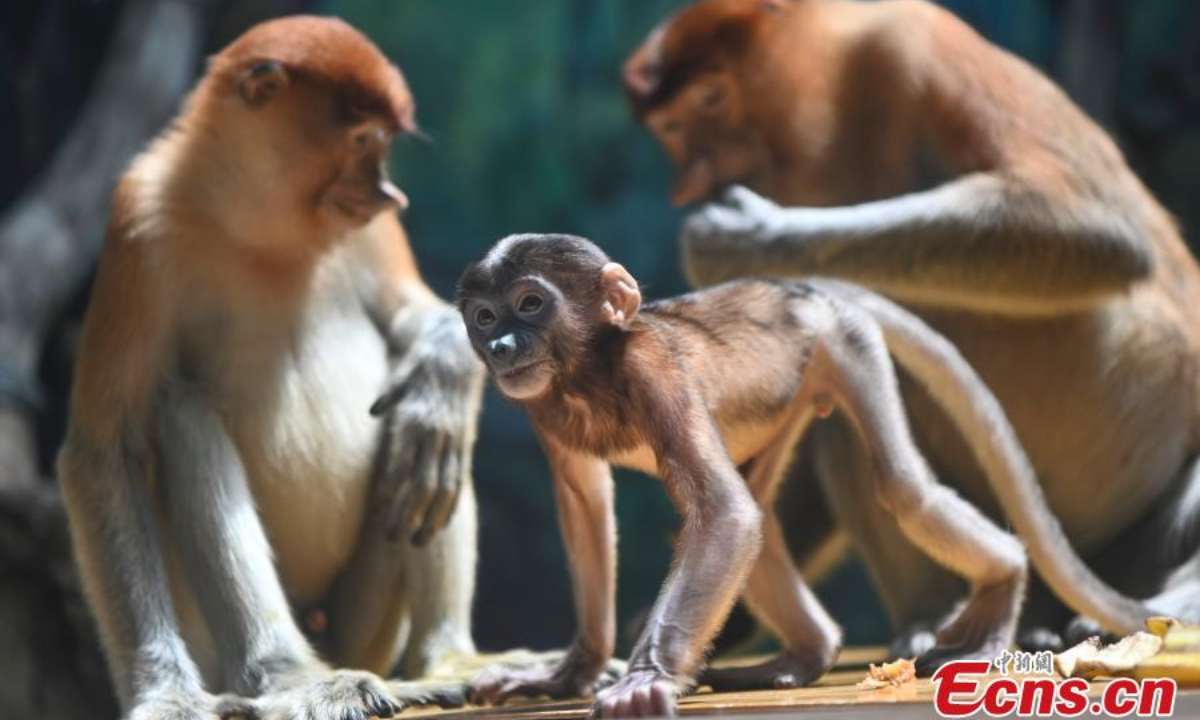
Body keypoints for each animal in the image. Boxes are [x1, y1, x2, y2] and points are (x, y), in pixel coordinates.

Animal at [55, 17, 482, 720]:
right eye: (362, 139)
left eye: (384, 142)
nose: (390, 193)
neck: (263, 230)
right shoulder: (139, 224)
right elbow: (105, 451)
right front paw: (165, 693)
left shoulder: (370, 229)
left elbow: (417, 314)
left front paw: (441, 381)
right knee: (181, 409)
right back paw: (295, 677)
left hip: (363, 623)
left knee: (431, 443)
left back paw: (448, 658)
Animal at [458, 233, 1157, 717]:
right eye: (484, 317)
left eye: (530, 304)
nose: (500, 348)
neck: (588, 374)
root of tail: (801, 288)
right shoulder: (542, 407)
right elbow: (587, 506)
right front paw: (567, 675)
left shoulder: (653, 372)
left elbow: (722, 515)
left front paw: (646, 678)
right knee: (760, 520)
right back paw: (805, 655)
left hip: (843, 344)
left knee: (900, 489)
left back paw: (999, 589)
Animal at [624, 0, 1200, 653]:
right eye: (670, 128)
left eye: (712, 100)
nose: (690, 182)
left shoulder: (914, 42)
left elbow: (1093, 226)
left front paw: (733, 238)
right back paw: (945, 618)